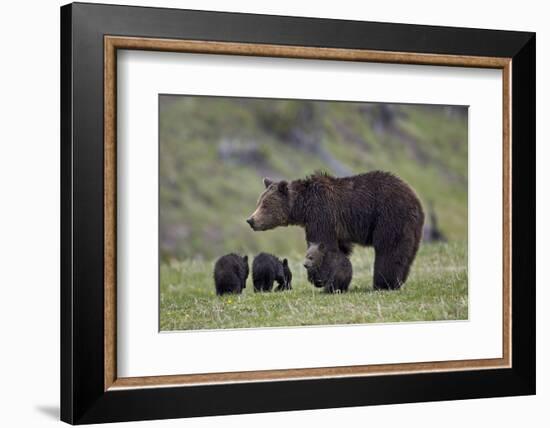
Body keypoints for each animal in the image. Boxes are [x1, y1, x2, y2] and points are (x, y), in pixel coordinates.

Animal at [247, 171, 426, 290]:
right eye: (258, 202)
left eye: (265, 205)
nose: (251, 220)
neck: (303, 208)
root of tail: (415, 198)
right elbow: (340, 249)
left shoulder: (322, 215)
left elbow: (322, 244)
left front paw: (318, 278)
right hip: (411, 227)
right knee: (405, 254)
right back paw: (397, 281)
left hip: (389, 216)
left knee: (389, 249)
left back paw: (383, 283)